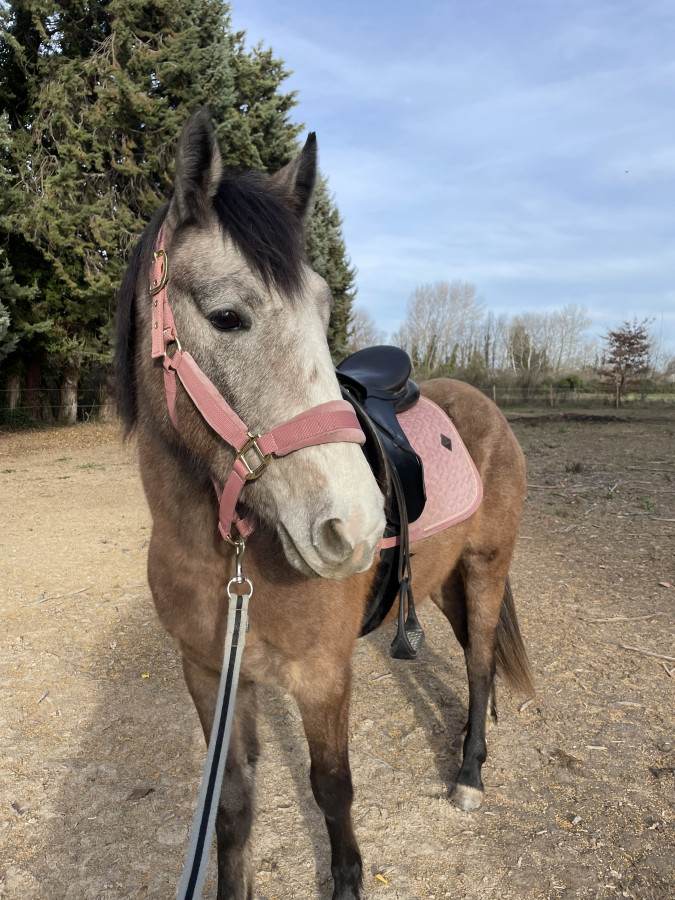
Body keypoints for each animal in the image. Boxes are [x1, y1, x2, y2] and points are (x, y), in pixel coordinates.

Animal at [117, 110, 532, 900]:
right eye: (226, 316)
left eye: (323, 308)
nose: (356, 526)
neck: (230, 564)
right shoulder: (210, 675)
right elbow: (233, 805)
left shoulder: (321, 677)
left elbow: (332, 790)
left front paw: (347, 880)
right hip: (445, 583)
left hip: (487, 568)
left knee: (478, 665)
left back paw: (468, 774)